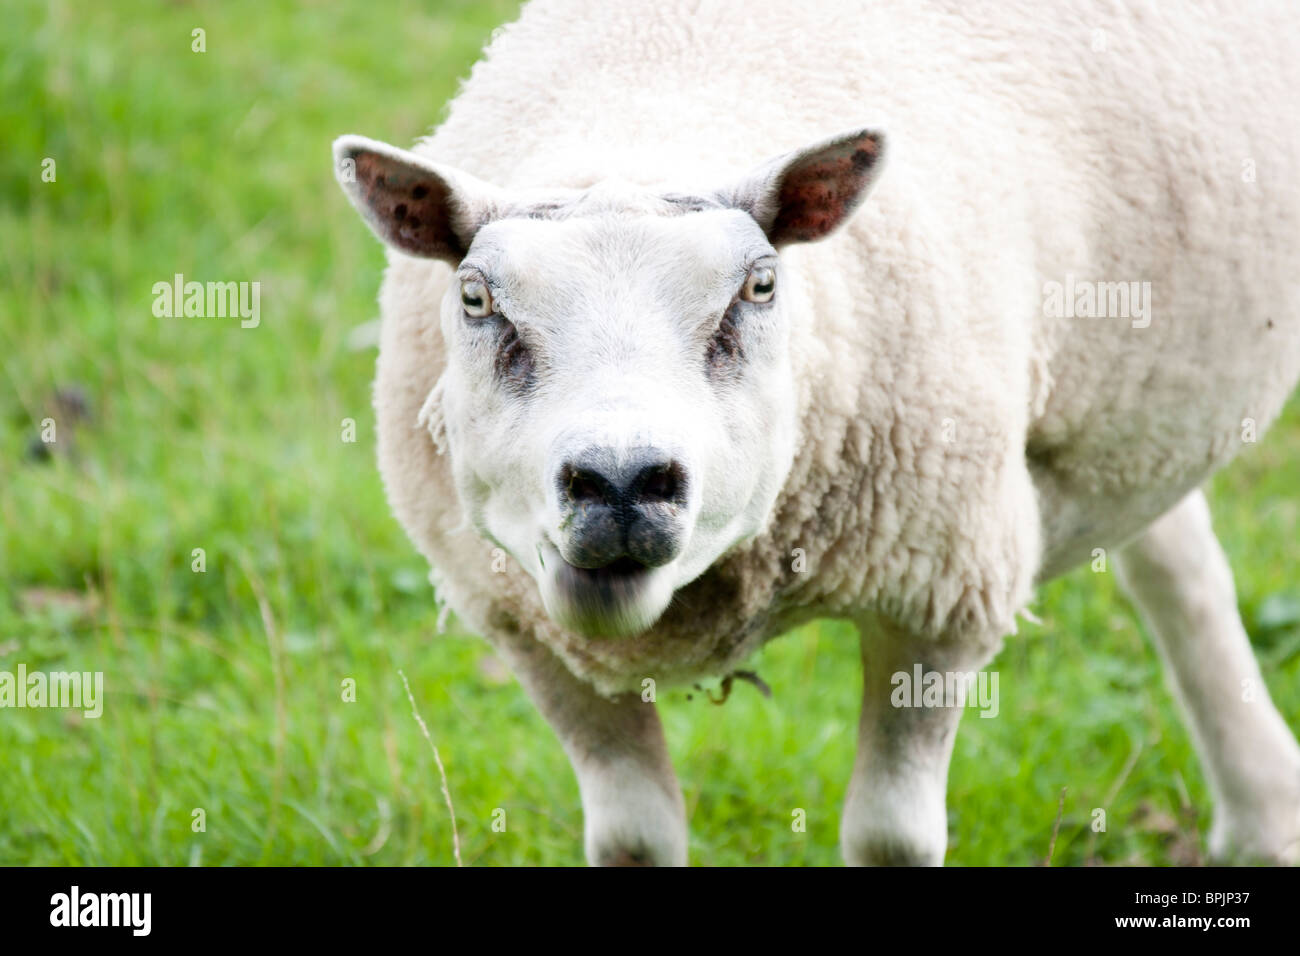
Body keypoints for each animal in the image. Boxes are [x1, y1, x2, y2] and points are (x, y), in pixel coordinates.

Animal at [330, 0, 1300, 868]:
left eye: (759, 287)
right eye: (475, 298)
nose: (621, 483)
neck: (647, 116)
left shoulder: (940, 591)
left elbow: (890, 838)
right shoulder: (529, 631)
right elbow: (635, 839)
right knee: (1172, 553)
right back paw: (1263, 811)